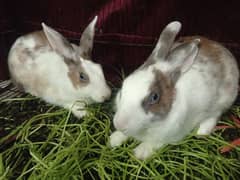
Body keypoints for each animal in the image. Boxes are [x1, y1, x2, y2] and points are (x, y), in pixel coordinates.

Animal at [109, 20, 239, 160]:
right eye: (123, 87)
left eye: (154, 97)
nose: (119, 124)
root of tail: (223, 49)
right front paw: (114, 139)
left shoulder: (169, 136)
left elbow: (154, 143)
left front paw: (140, 153)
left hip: (223, 100)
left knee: (215, 115)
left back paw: (202, 131)